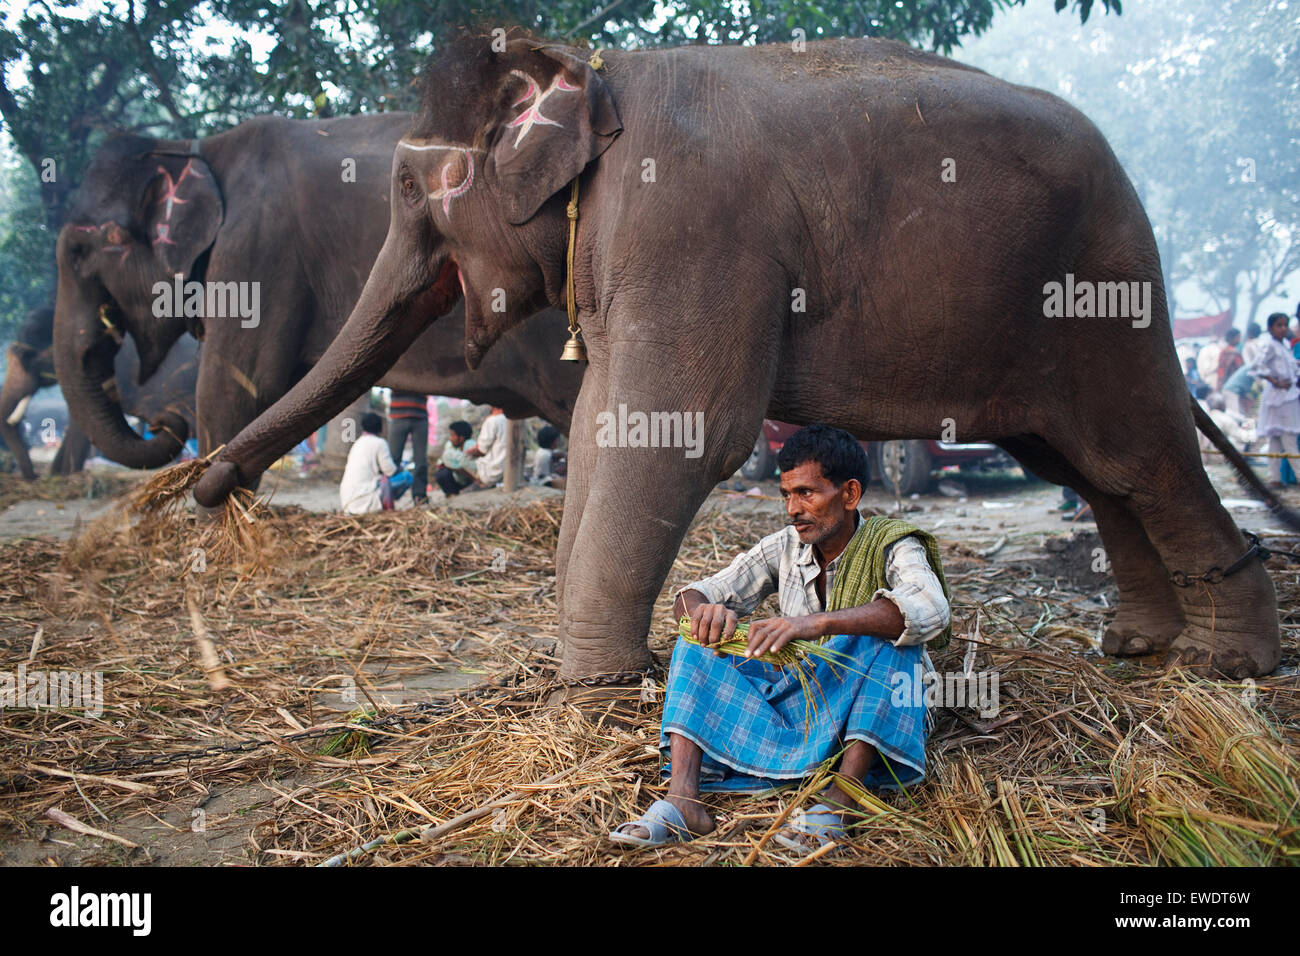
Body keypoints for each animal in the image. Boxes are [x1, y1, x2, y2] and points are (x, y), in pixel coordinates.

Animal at [195, 35, 1300, 681]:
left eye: (408, 193)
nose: (207, 487)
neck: (591, 75)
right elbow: (601, 424)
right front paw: (592, 671)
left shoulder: (690, 226)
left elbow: (676, 431)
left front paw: (592, 689)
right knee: (1080, 466)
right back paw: (1140, 643)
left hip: (1106, 290)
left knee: (1136, 454)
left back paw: (1229, 665)